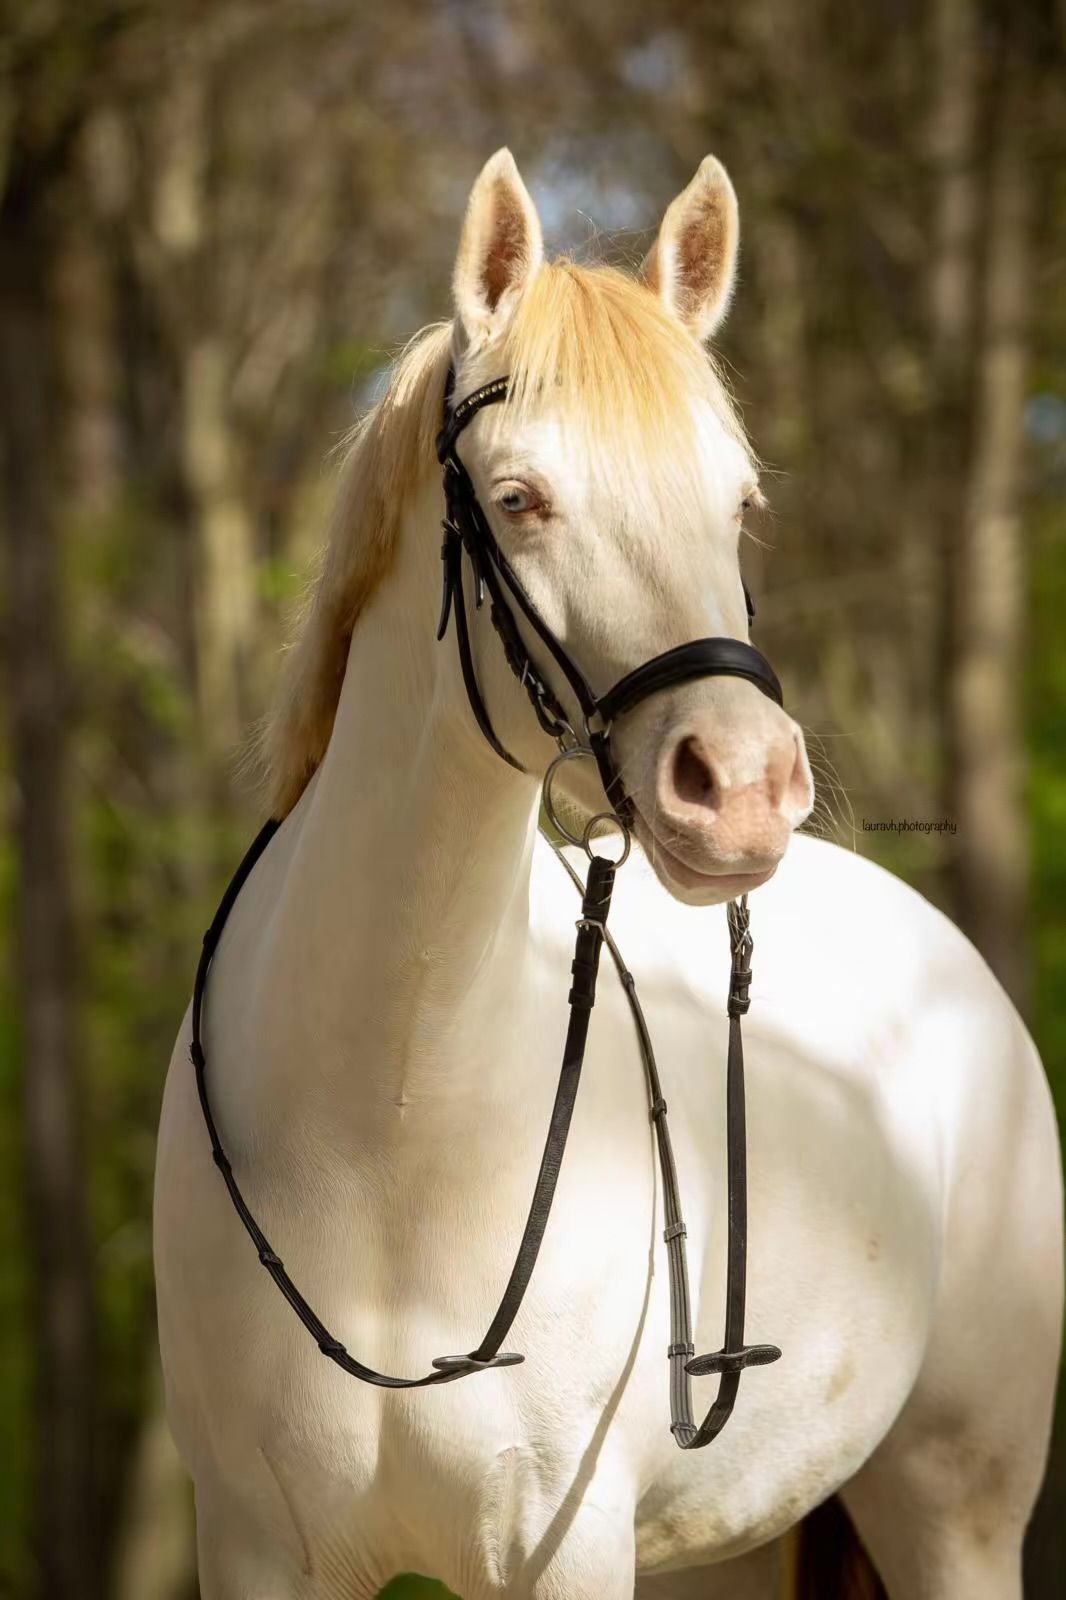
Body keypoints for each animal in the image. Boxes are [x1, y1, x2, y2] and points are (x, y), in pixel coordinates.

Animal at [154, 149, 1063, 1600]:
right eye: (519, 499)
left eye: (738, 506)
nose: (740, 787)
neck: (389, 1122)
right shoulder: (253, 1549)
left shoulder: (565, 1547)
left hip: (956, 1515)